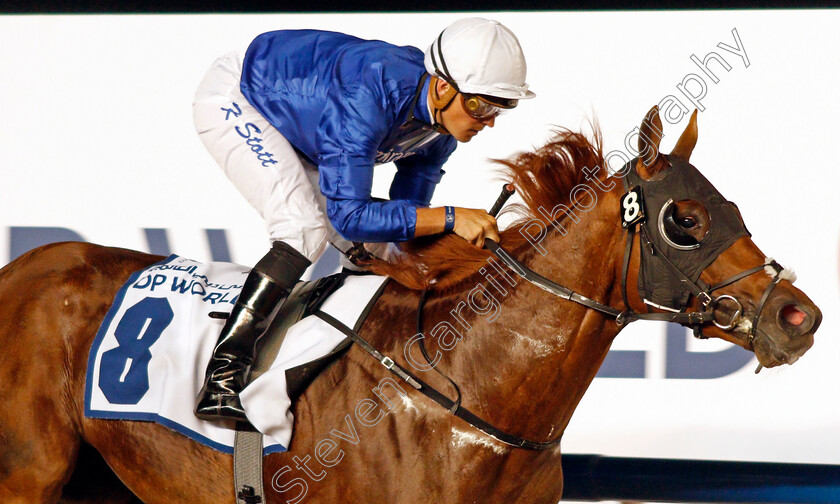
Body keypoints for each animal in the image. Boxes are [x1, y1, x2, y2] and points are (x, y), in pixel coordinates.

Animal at [0, 107, 820, 504]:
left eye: (733, 207)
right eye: (684, 220)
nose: (799, 317)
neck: (472, 396)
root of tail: (24, 267)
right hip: (27, 476)